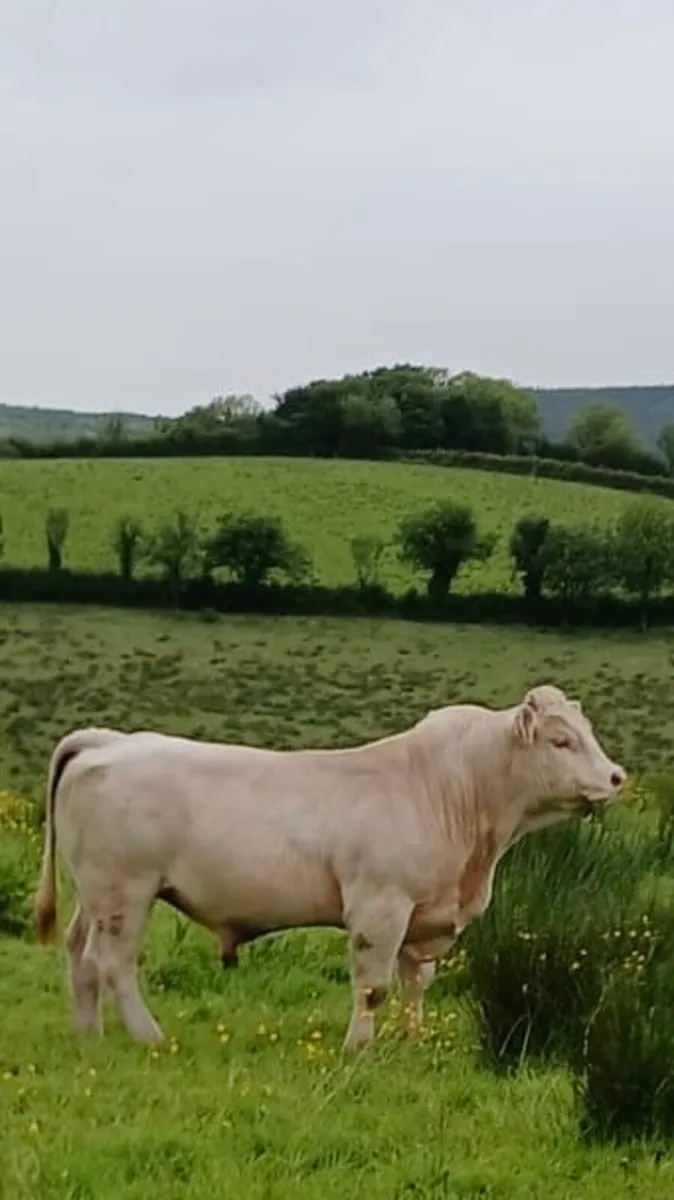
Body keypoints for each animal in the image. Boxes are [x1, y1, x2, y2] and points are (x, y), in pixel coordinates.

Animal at [34, 684, 626, 1053]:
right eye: (561, 740)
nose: (617, 777)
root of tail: (110, 739)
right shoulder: (380, 908)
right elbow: (373, 987)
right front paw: (358, 1048)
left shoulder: (425, 917)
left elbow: (416, 982)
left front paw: (413, 1040)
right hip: (125, 892)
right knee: (113, 964)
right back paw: (149, 1037)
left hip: (95, 894)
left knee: (79, 956)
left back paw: (89, 1034)